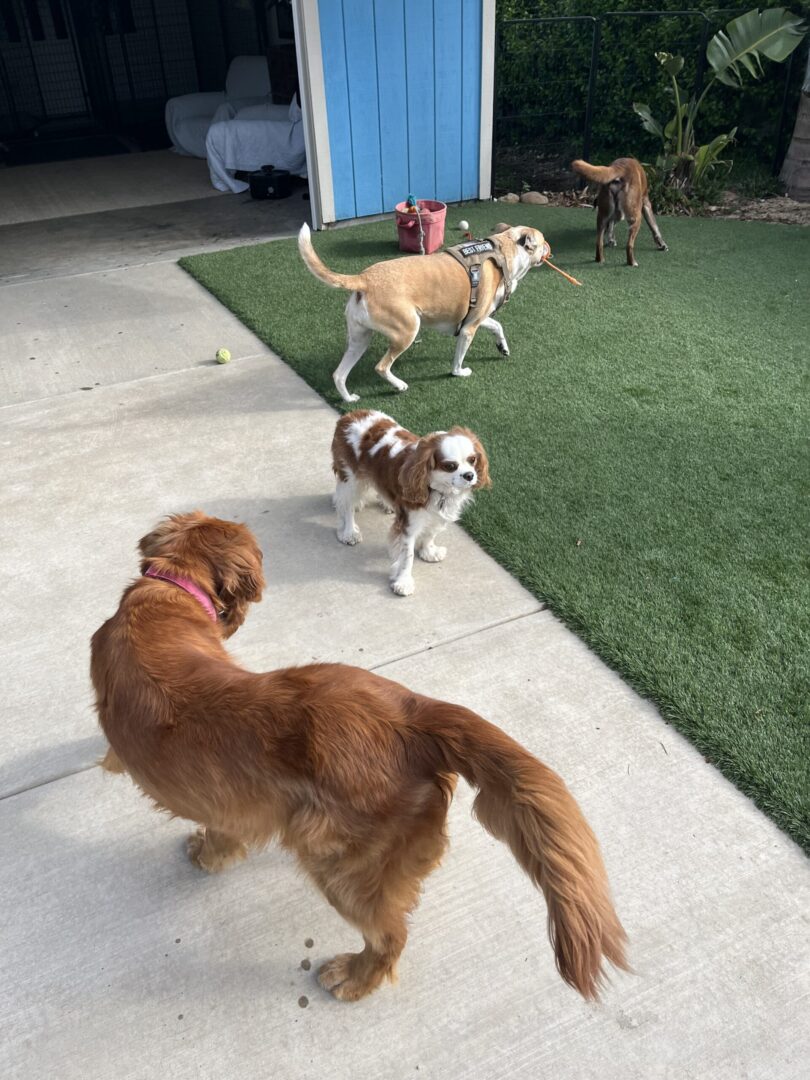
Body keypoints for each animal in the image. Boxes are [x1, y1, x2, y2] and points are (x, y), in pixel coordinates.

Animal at [91, 514, 630, 1002]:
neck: (170, 594)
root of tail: (414, 716)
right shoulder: (235, 802)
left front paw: (200, 852)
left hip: (342, 867)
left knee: (390, 935)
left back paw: (353, 977)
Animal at [300, 221, 552, 403]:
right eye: (542, 241)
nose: (549, 247)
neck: (504, 250)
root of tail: (364, 278)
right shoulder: (468, 329)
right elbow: (458, 359)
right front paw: (459, 373)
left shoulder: (475, 318)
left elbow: (497, 326)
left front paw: (503, 348)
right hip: (407, 330)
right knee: (381, 366)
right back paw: (399, 385)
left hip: (359, 339)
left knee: (339, 374)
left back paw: (349, 398)